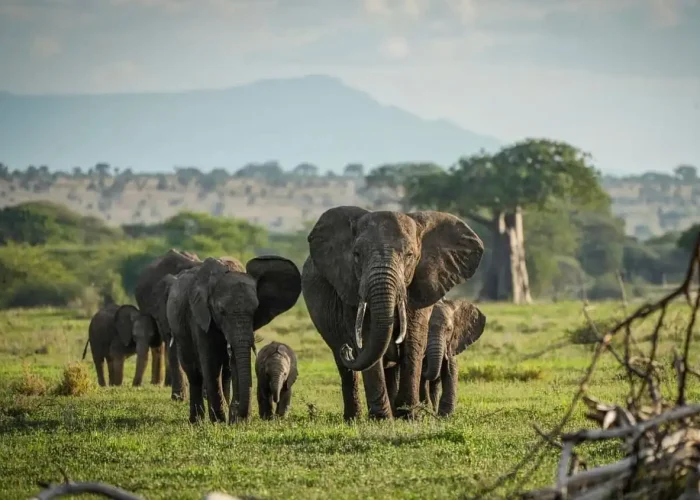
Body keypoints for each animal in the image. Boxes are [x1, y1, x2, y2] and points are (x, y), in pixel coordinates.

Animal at [166, 255, 302, 423]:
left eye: (255, 310)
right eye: (221, 311)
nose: (237, 410)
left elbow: (236, 360)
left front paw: (237, 420)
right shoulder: (199, 316)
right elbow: (210, 362)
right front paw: (219, 421)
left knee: (226, 372)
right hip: (179, 328)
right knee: (193, 371)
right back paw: (197, 421)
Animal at [301, 206, 484, 421]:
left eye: (410, 255)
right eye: (357, 254)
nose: (348, 349)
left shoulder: (421, 286)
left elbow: (413, 338)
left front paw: (409, 416)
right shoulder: (350, 287)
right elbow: (367, 338)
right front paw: (382, 419)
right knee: (347, 369)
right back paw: (354, 418)